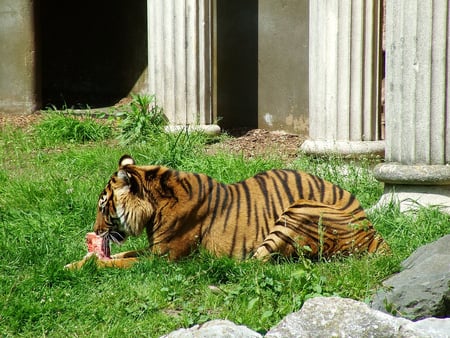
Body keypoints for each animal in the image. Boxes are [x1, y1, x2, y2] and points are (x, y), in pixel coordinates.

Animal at [69, 154, 386, 268]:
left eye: (103, 207)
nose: (94, 231)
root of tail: (374, 233)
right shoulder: (153, 248)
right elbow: (122, 254)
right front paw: (77, 261)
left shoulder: (164, 257)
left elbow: (119, 262)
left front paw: (84, 266)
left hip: (300, 209)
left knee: (254, 264)